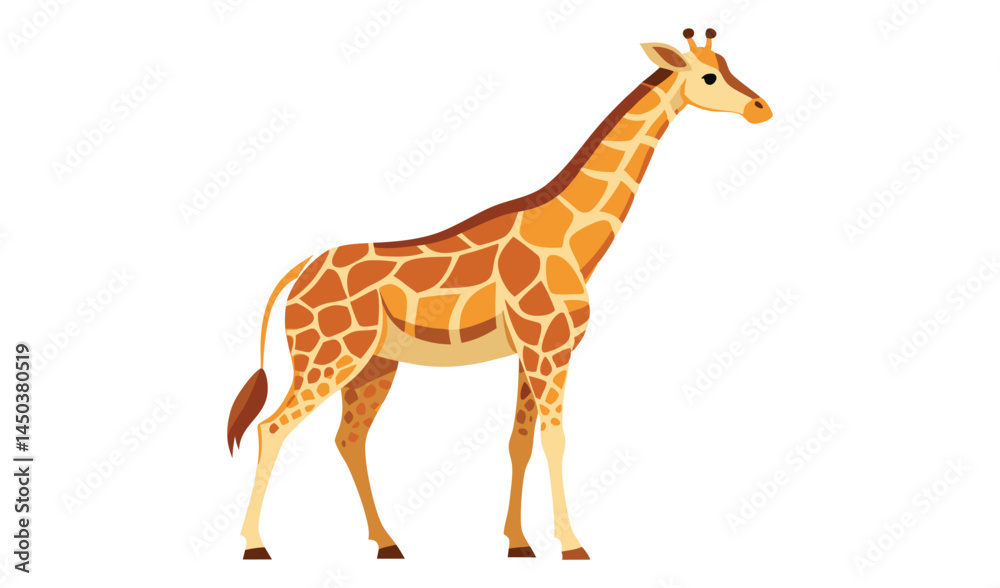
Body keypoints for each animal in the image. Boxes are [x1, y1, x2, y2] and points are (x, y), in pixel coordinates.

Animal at [227, 28, 770, 560]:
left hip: (375, 363)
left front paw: (519, 543)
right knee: (272, 427)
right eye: (708, 76)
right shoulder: (548, 347)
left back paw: (387, 543)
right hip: (328, 355)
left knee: (349, 438)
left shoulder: (531, 351)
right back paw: (256, 545)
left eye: (726, 64)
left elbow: (520, 441)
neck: (570, 239)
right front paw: (572, 546)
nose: (760, 108)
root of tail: (298, 274)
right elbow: (555, 438)